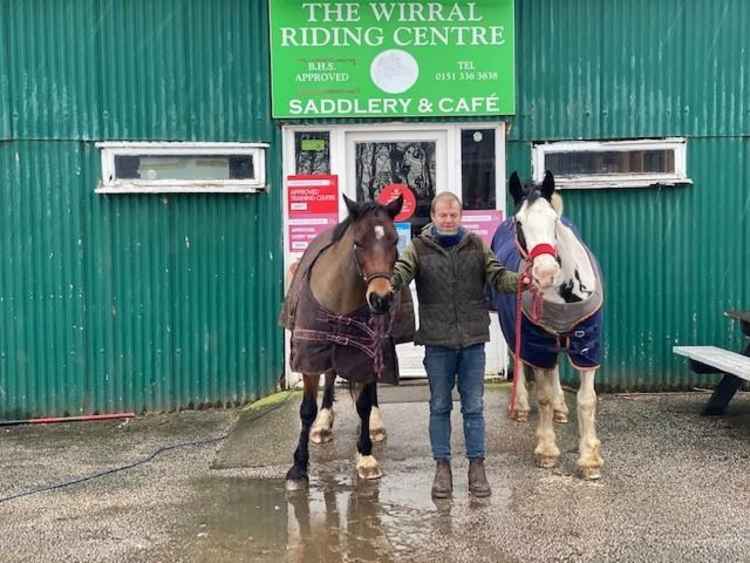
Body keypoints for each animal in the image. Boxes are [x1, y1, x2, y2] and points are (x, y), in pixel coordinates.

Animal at [284, 196, 406, 492]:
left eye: (395, 240)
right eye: (358, 242)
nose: (381, 299)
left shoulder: (364, 355)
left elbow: (363, 404)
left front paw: (366, 457)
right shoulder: (311, 354)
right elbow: (306, 410)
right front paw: (298, 466)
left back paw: (374, 423)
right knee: (330, 377)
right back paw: (324, 423)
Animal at [496, 172, 608, 480]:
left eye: (554, 221)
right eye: (519, 222)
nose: (545, 273)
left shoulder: (587, 343)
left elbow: (586, 399)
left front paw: (589, 459)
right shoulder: (536, 341)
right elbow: (542, 396)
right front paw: (547, 451)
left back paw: (560, 407)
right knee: (518, 358)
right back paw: (521, 406)